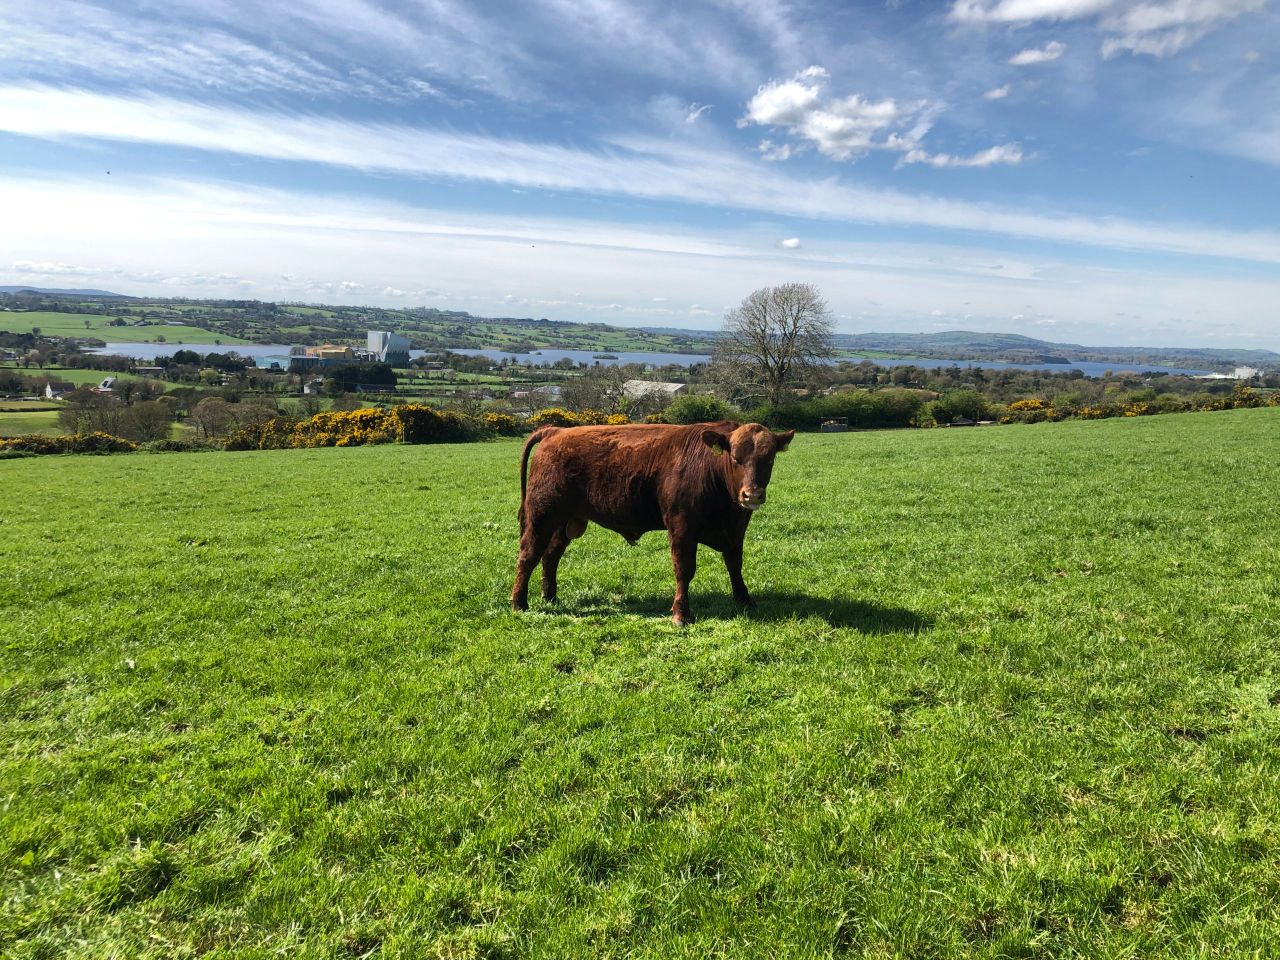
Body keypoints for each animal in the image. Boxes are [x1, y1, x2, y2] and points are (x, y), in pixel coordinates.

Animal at [512, 421, 794, 626]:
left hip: (565, 522)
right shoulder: (681, 528)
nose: (752, 495)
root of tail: (556, 431)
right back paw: (519, 603)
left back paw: (549, 596)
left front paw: (744, 599)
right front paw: (681, 613)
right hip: (541, 516)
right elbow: (684, 569)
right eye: (735, 458)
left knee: (550, 556)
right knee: (528, 555)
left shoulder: (736, 529)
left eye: (769, 459)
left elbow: (735, 565)